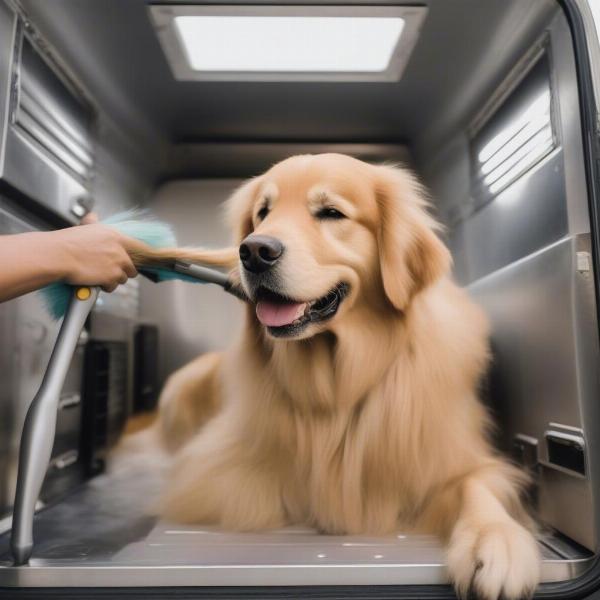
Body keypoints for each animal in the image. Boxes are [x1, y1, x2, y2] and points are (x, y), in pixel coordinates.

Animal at [136, 152, 540, 596]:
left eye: (331, 213)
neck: (339, 382)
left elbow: (477, 485)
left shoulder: (455, 455)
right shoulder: (220, 470)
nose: (254, 251)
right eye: (263, 213)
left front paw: (495, 540)